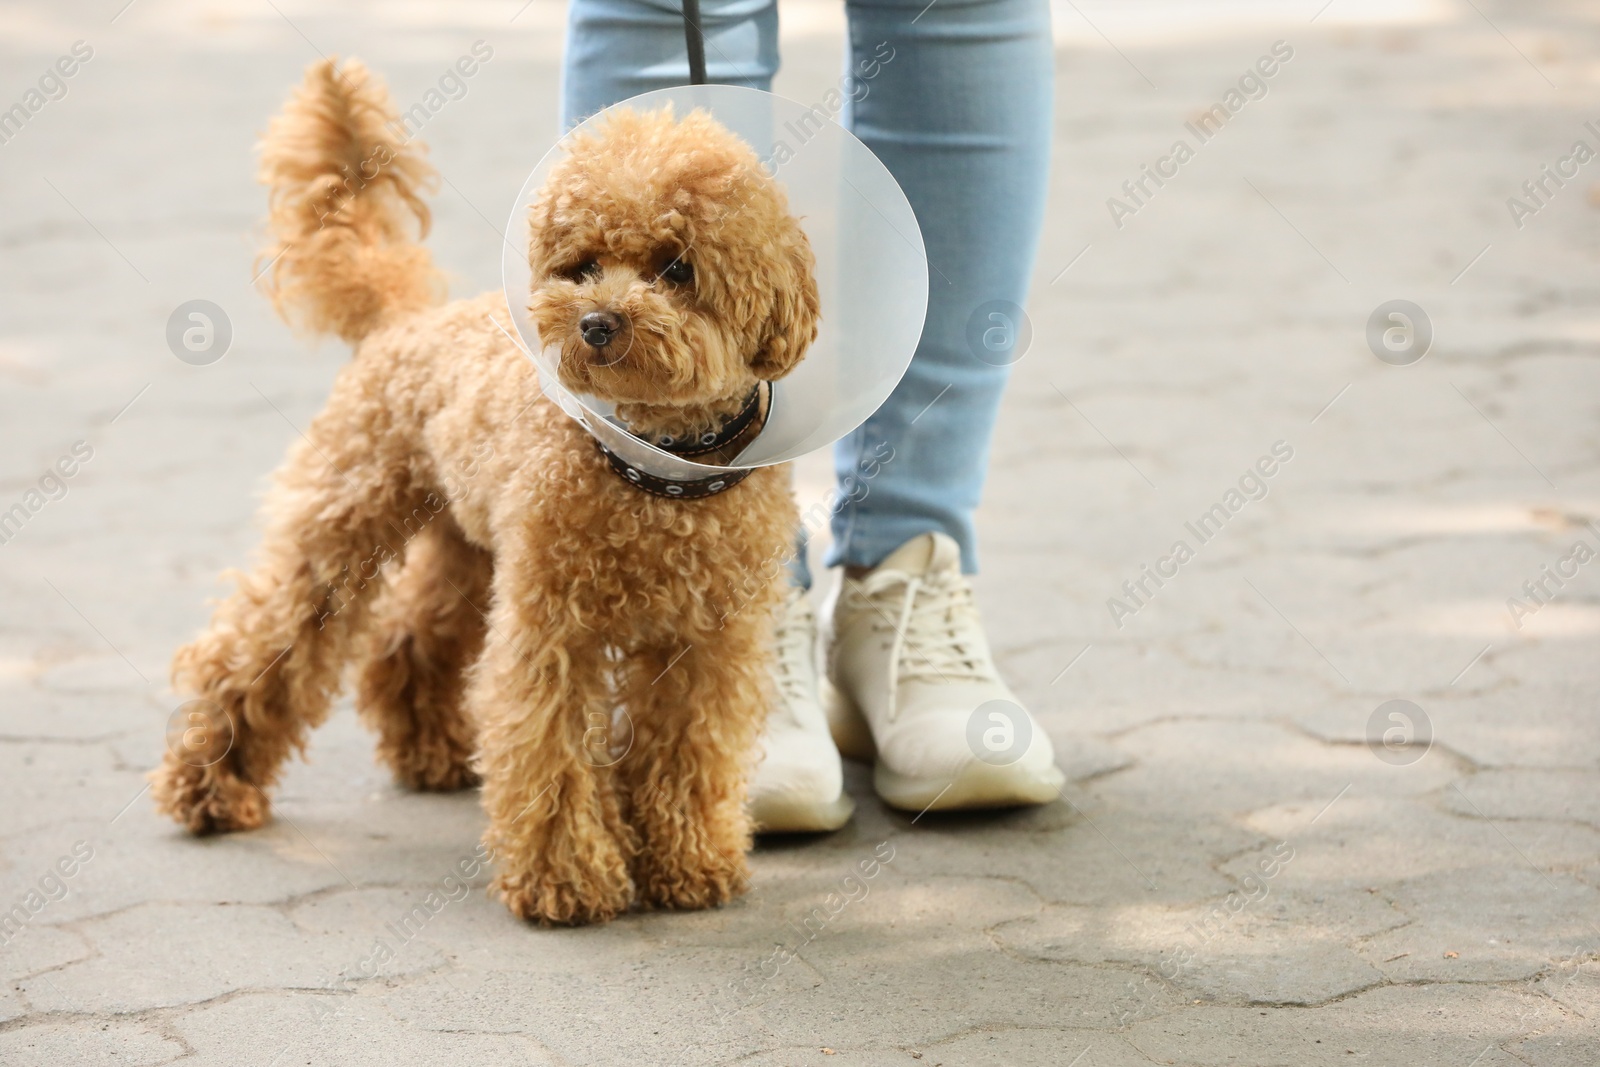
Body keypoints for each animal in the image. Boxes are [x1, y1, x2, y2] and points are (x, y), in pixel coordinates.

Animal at [151, 60, 819, 927]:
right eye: (582, 262)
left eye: (677, 266)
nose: (597, 323)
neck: (654, 466)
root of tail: (402, 322)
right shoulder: (553, 628)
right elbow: (549, 745)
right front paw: (567, 878)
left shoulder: (705, 641)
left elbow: (687, 748)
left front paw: (688, 861)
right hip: (344, 528)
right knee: (261, 644)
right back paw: (209, 786)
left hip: (467, 548)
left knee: (409, 637)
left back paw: (427, 750)